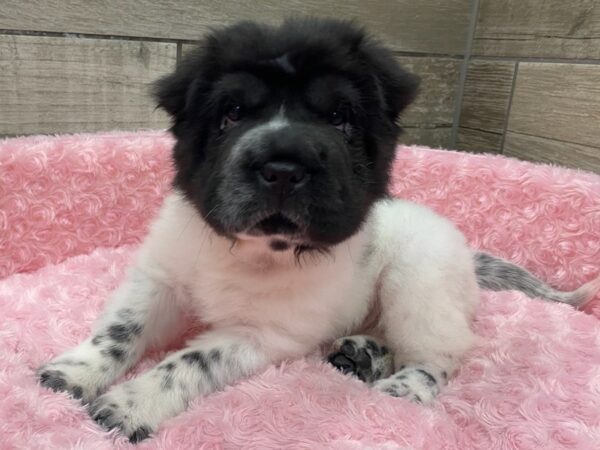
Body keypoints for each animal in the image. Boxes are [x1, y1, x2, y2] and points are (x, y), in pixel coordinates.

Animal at [38, 17, 600, 442]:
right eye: (233, 112)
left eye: (339, 117)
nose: (284, 166)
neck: (253, 251)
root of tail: (466, 251)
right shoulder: (160, 279)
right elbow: (121, 330)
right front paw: (73, 373)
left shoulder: (262, 336)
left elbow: (192, 360)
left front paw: (130, 405)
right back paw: (363, 353)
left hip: (418, 281)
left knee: (445, 352)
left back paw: (405, 387)